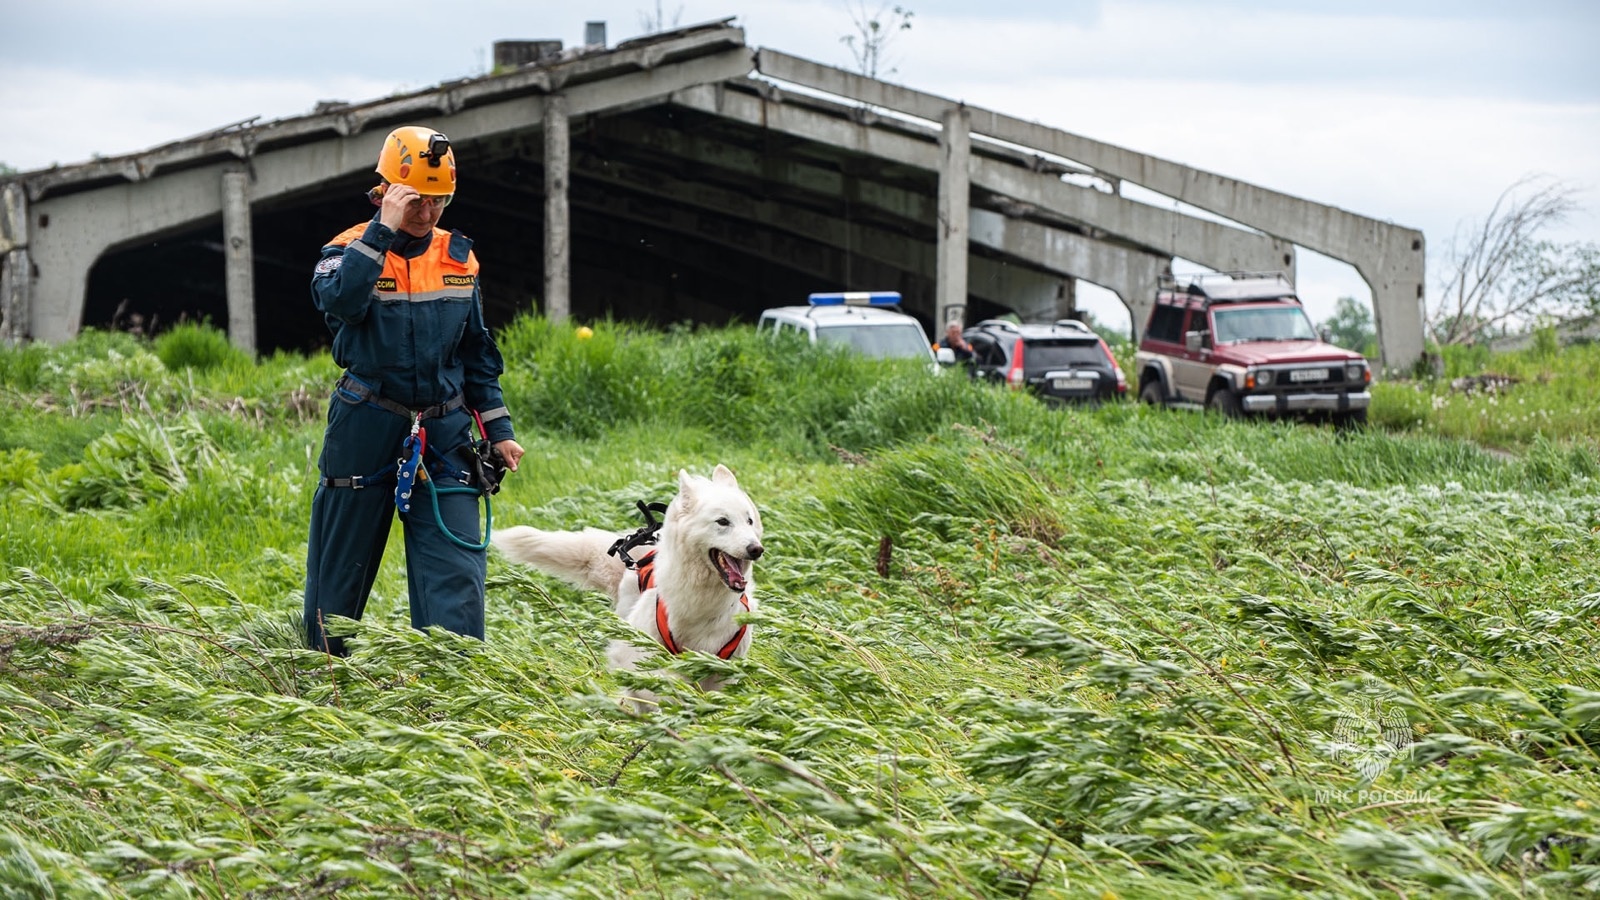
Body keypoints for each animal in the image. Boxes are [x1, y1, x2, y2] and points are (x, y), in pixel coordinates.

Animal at [489, 461, 764, 695]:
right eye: (722, 521)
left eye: (749, 521)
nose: (756, 549)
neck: (703, 601)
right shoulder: (641, 653)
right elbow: (658, 683)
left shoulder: (725, 667)